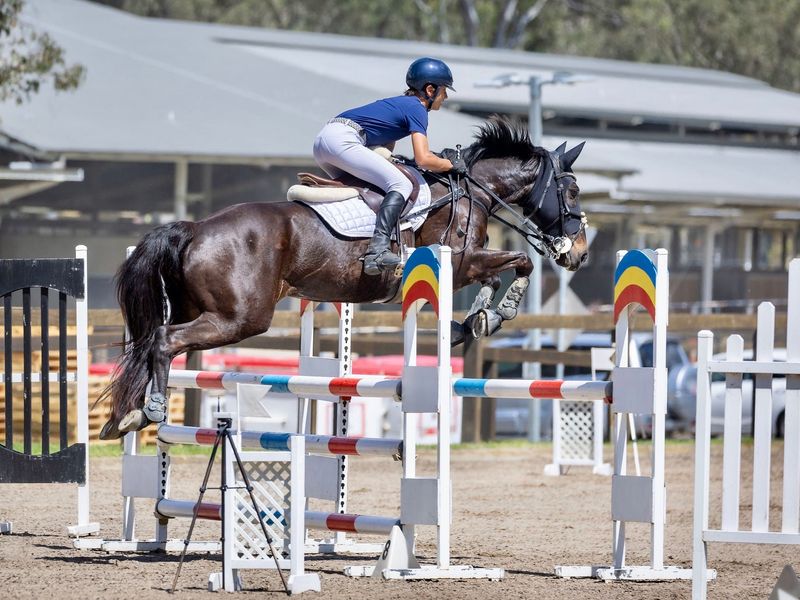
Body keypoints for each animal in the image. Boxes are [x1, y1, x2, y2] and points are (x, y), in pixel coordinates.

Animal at [99, 117, 588, 439]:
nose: (580, 254)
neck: (470, 191)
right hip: (239, 318)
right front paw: (493, 314)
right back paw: (151, 411)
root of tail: (194, 228)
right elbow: (519, 262)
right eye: (573, 190)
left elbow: (497, 277)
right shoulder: (461, 260)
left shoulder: (462, 266)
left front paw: (476, 321)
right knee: (165, 340)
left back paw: (128, 416)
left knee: (153, 343)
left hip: (199, 309)